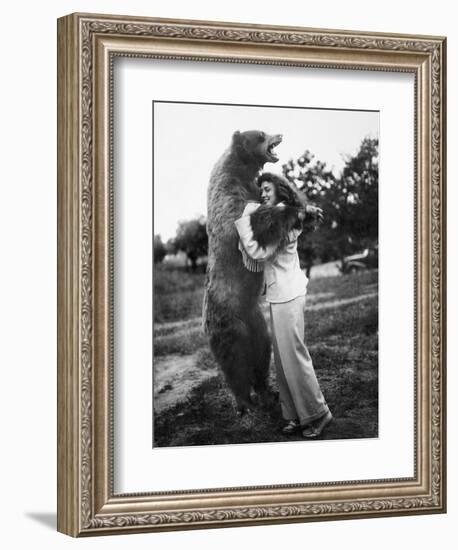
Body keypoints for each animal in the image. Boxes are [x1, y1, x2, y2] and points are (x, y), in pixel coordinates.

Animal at [203, 130, 304, 414]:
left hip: (256, 320)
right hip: (229, 322)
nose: (279, 134)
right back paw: (244, 402)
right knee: (234, 362)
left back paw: (267, 391)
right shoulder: (228, 199)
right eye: (260, 134)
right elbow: (249, 220)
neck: (240, 169)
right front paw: (292, 209)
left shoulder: (252, 189)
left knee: (261, 351)